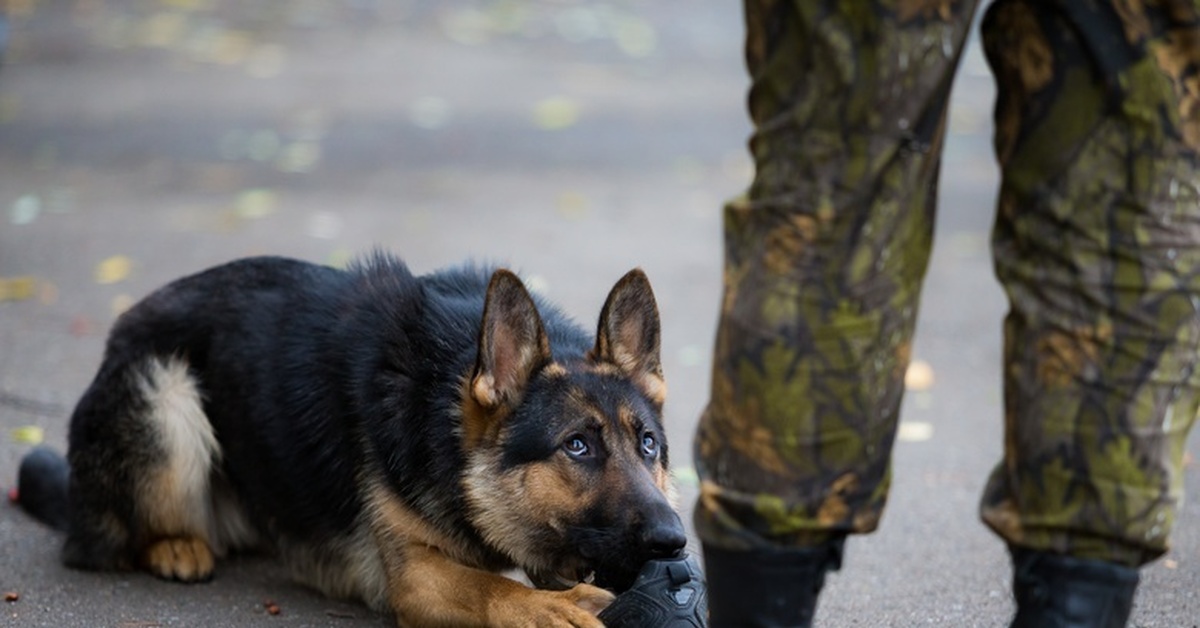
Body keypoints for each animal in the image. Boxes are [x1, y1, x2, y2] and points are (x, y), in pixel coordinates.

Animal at [18, 253, 686, 624]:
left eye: (648, 445)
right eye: (577, 446)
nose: (675, 541)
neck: (442, 420)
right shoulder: (412, 577)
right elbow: (491, 587)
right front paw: (550, 609)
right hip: (166, 399)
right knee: (104, 543)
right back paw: (176, 546)